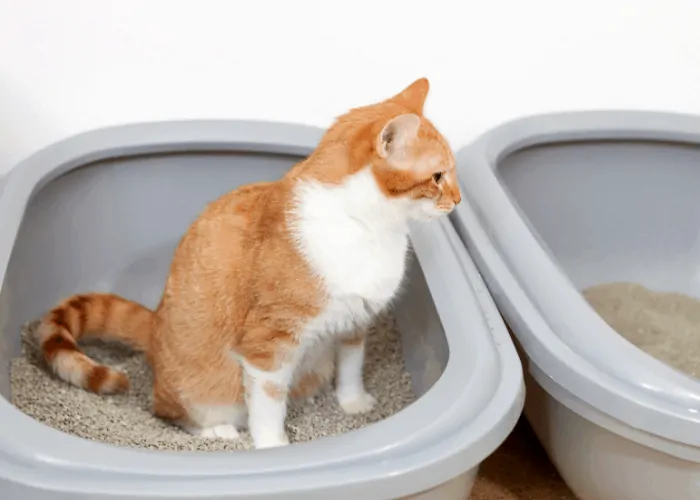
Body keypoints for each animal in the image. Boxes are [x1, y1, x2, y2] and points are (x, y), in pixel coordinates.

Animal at [32, 77, 462, 450]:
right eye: (438, 176)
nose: (457, 200)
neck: (366, 229)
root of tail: (154, 324)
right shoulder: (268, 345)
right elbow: (268, 403)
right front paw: (273, 446)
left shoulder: (355, 323)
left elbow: (352, 368)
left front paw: (353, 402)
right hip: (199, 393)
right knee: (171, 412)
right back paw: (216, 431)